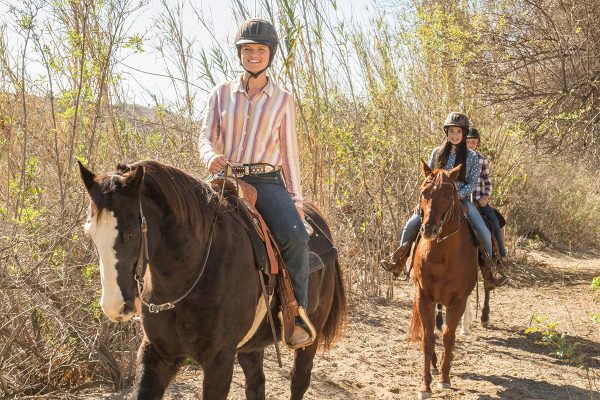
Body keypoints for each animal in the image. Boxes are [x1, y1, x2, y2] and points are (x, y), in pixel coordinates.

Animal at [78, 161, 346, 398]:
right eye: (90, 233)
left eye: (132, 233)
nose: (114, 307)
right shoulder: (156, 354)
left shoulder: (219, 361)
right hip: (251, 346)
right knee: (255, 383)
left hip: (310, 337)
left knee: (299, 380)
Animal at [410, 160, 476, 400]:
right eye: (424, 192)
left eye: (448, 193)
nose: (429, 229)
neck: (443, 254)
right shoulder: (424, 297)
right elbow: (428, 338)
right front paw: (425, 385)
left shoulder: (459, 301)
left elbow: (448, 336)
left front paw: (445, 379)